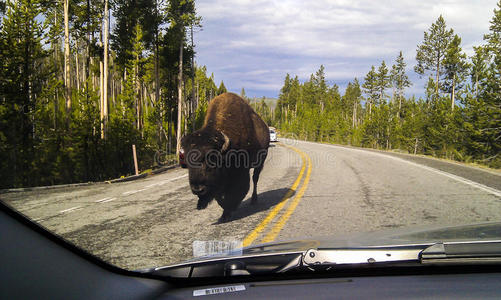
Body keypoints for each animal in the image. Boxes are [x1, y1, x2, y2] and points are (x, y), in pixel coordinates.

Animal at [181, 92, 270, 221]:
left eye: (211, 161)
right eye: (187, 164)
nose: (198, 189)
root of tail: (265, 127)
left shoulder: (240, 173)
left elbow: (236, 192)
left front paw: (228, 212)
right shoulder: (219, 182)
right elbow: (219, 197)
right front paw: (224, 213)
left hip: (261, 161)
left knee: (255, 178)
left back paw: (254, 200)